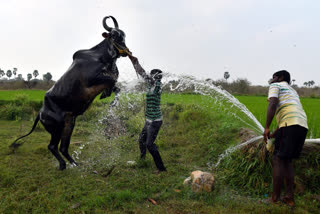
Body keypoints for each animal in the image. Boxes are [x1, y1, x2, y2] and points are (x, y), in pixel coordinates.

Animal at [10, 15, 131, 170]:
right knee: (52, 146)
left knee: (63, 147)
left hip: (69, 124)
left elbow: (116, 87)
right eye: (113, 35)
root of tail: (40, 113)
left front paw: (111, 100)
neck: (103, 58)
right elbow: (112, 81)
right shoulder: (93, 79)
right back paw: (62, 165)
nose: (125, 51)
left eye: (123, 35)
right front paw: (108, 95)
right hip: (57, 128)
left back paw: (75, 164)